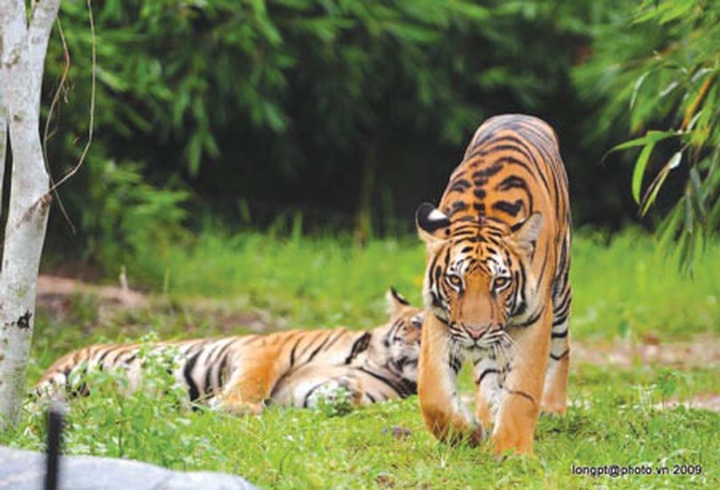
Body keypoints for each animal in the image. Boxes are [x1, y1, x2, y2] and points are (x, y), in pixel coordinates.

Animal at [34, 288, 424, 414]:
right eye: (419, 323)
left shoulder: (293, 390)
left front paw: (344, 392)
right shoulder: (270, 348)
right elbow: (254, 380)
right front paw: (233, 407)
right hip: (64, 377)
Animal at [414, 114, 572, 455]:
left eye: (500, 282)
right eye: (455, 280)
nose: (476, 332)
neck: (482, 214)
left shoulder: (536, 319)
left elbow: (523, 391)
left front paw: (511, 450)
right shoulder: (440, 316)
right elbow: (433, 395)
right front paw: (468, 432)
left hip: (561, 292)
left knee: (561, 349)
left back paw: (553, 409)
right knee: (486, 371)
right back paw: (487, 414)